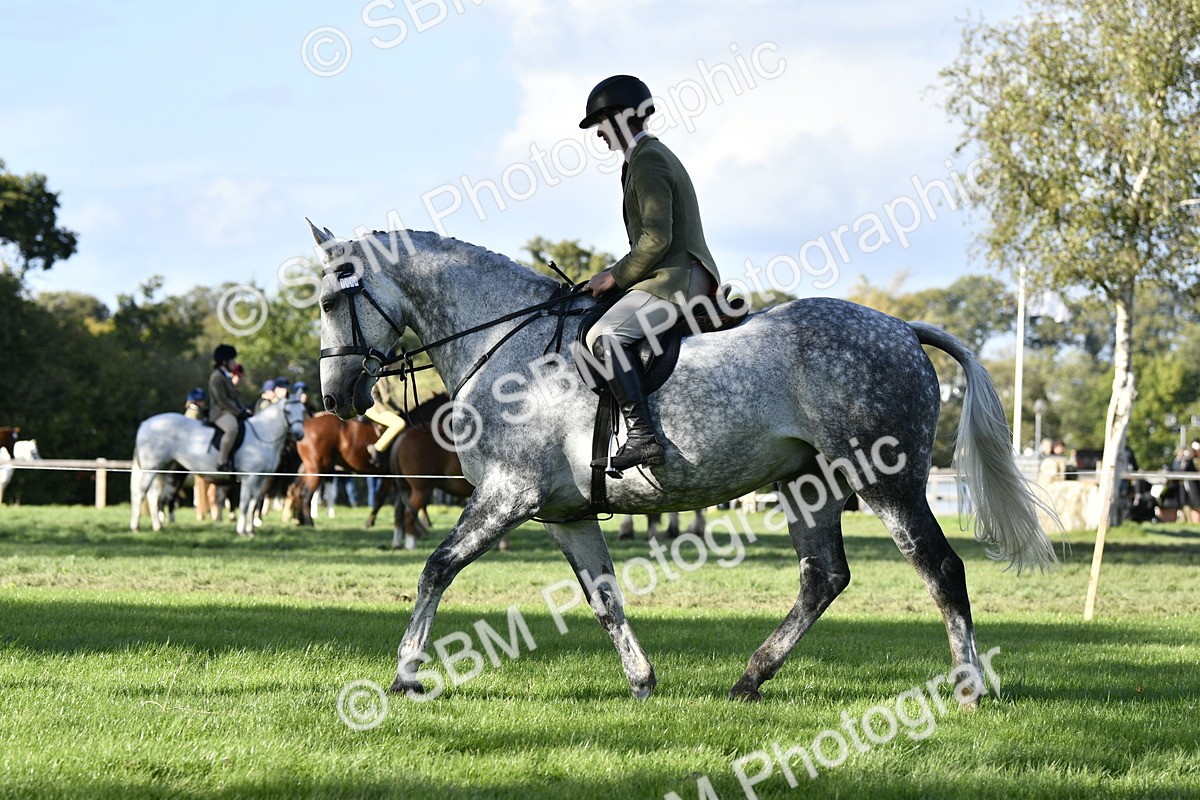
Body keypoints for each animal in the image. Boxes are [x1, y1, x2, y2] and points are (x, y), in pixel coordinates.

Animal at [130, 398, 306, 536]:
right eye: (288, 411)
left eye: (302, 411)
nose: (299, 435)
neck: (263, 436)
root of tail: (145, 424)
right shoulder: (250, 477)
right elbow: (244, 504)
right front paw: (242, 530)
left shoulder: (261, 479)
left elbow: (253, 503)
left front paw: (251, 530)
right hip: (153, 469)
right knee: (142, 494)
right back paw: (136, 527)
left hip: (161, 470)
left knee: (153, 496)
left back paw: (157, 526)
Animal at [312, 224, 1056, 704]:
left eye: (328, 300)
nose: (336, 397)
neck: (509, 344)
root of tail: (902, 328)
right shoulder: (563, 514)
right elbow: (604, 597)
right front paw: (642, 682)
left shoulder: (507, 496)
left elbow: (436, 569)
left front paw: (406, 675)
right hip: (808, 486)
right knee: (823, 578)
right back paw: (751, 678)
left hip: (886, 481)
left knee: (941, 569)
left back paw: (968, 688)